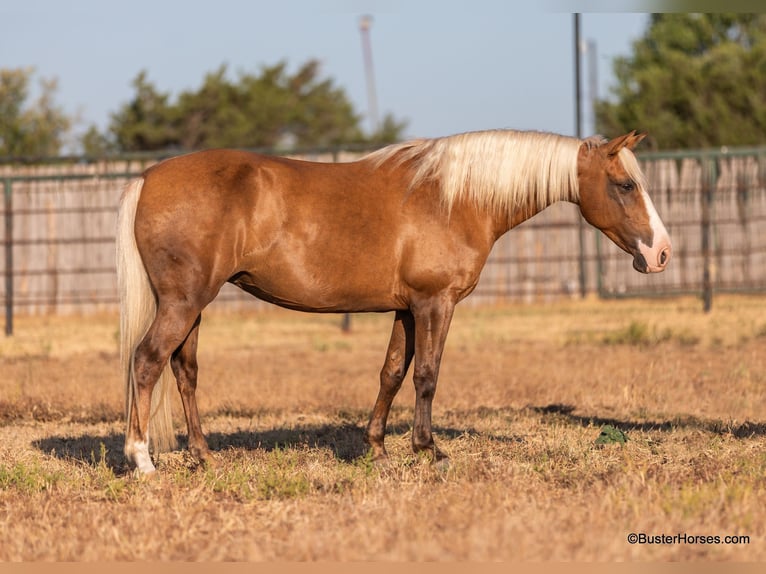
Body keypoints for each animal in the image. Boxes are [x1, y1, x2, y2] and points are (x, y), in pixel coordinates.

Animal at [115, 132, 672, 476]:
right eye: (626, 185)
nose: (661, 253)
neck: (455, 197)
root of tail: (148, 177)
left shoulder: (406, 309)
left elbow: (391, 373)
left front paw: (377, 450)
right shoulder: (435, 304)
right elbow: (426, 374)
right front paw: (430, 450)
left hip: (191, 307)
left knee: (183, 371)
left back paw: (204, 457)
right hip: (183, 304)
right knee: (146, 361)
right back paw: (142, 460)